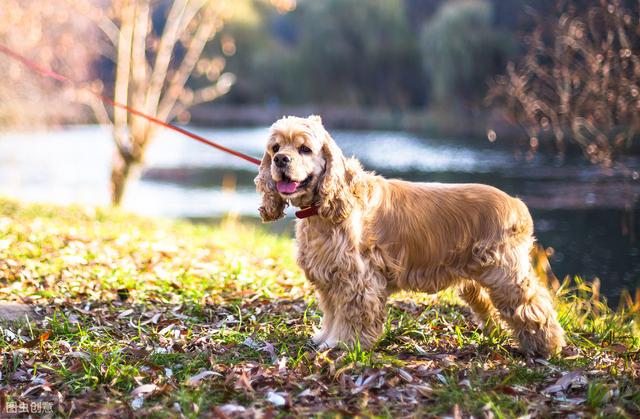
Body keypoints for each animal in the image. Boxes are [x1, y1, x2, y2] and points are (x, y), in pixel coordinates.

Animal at [255, 115, 564, 358]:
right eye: (275, 148)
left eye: (305, 149)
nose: (281, 159)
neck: (324, 209)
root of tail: (517, 205)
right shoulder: (329, 278)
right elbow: (332, 313)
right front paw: (325, 338)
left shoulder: (357, 279)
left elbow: (352, 316)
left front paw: (344, 344)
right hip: (477, 280)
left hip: (505, 274)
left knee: (534, 306)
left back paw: (548, 347)